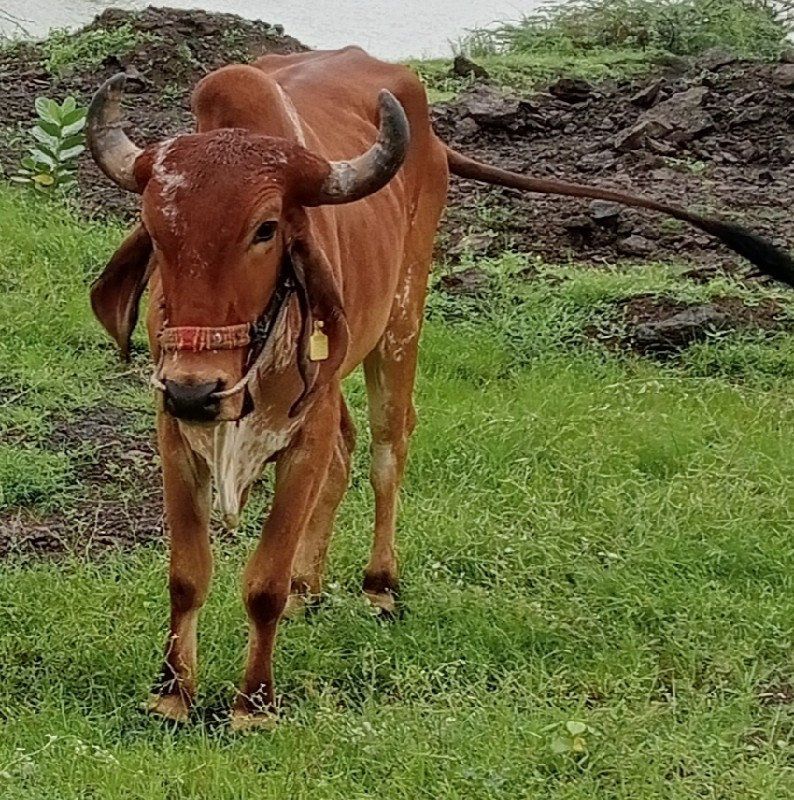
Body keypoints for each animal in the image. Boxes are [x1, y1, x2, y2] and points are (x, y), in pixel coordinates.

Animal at [86, 47, 792, 728]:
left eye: (265, 228)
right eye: (156, 230)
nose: (195, 390)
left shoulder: (302, 432)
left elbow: (264, 584)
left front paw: (253, 706)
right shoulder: (176, 434)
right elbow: (187, 575)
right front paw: (172, 694)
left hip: (402, 321)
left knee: (385, 451)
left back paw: (379, 585)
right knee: (347, 457)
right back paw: (312, 588)